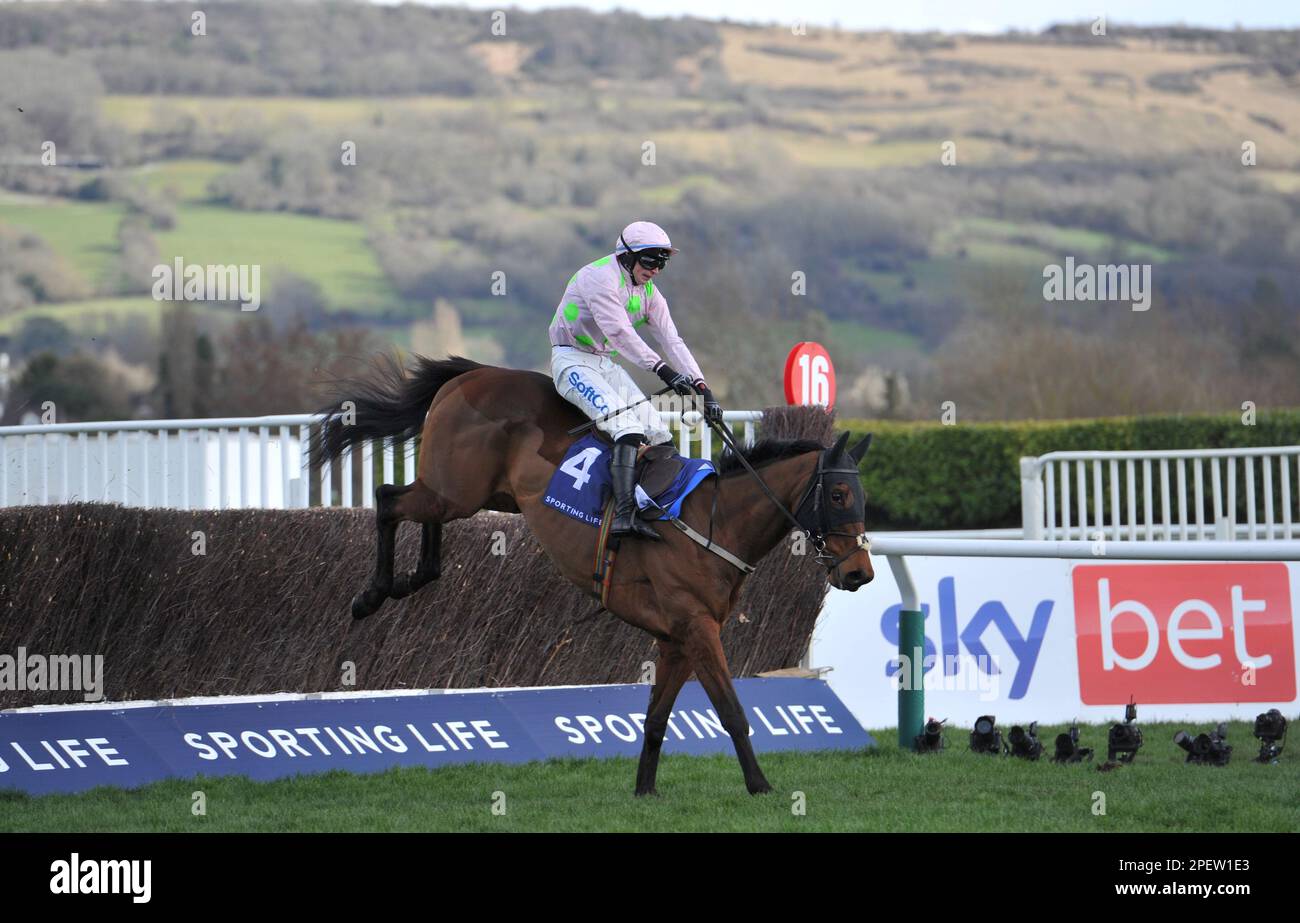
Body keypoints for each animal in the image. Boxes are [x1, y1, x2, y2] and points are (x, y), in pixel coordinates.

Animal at [309, 353, 873, 795]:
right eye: (839, 494)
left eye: (862, 496)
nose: (861, 574)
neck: (715, 520)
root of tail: (473, 373)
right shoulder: (697, 628)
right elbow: (731, 710)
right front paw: (760, 786)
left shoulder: (677, 639)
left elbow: (656, 718)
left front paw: (645, 790)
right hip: (459, 488)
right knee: (387, 499)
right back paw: (372, 594)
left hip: (476, 493)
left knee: (421, 517)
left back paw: (412, 578)